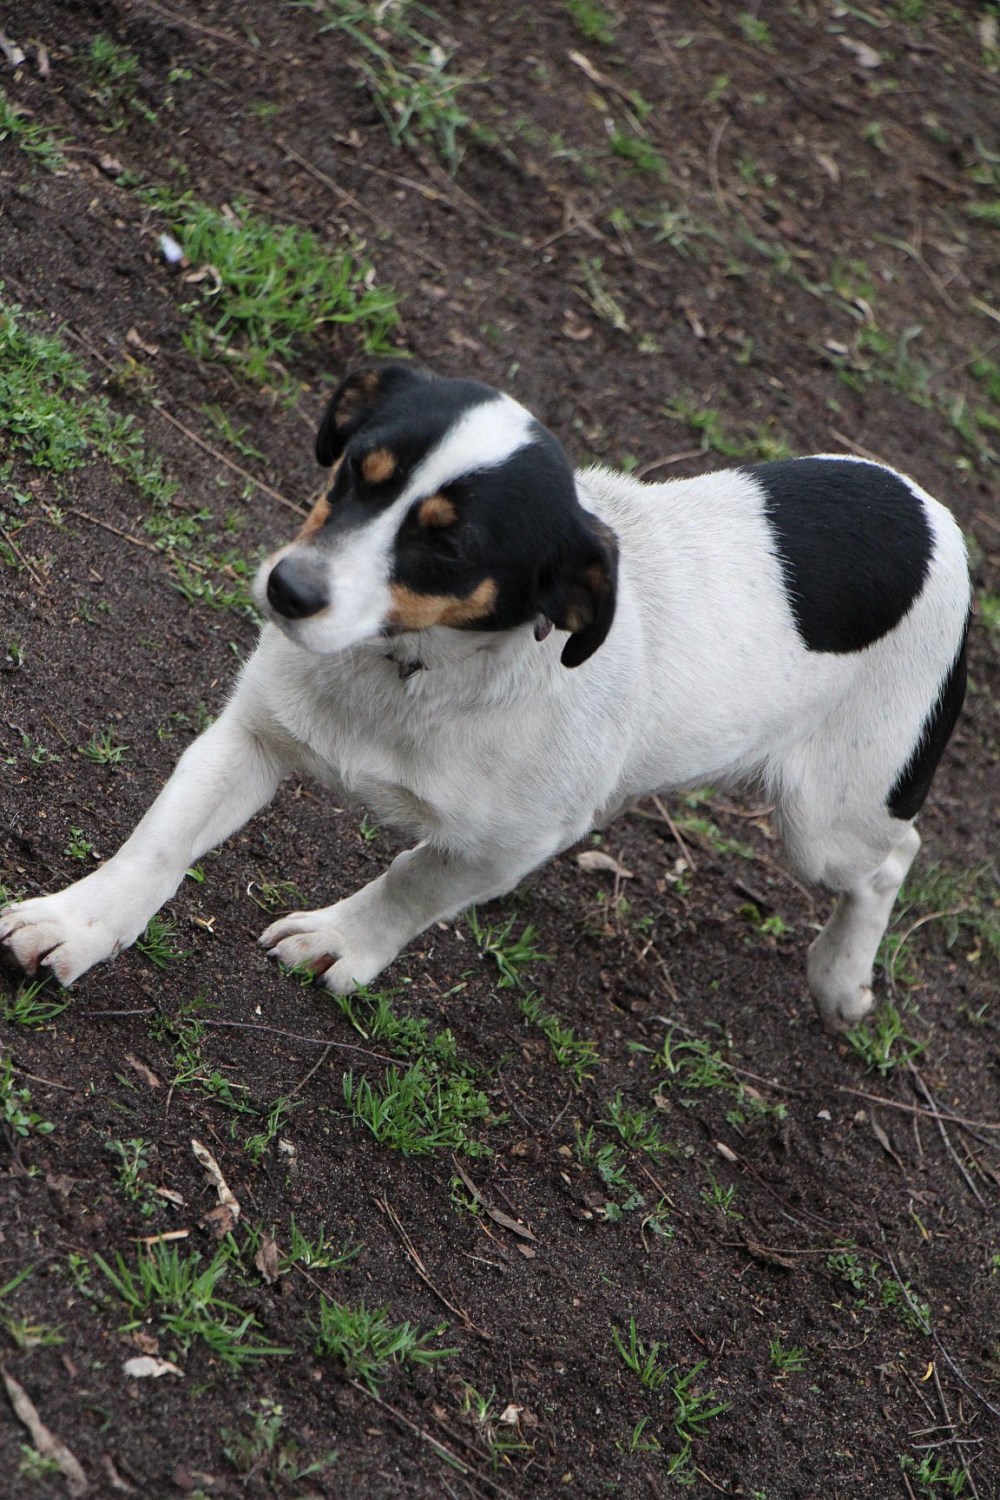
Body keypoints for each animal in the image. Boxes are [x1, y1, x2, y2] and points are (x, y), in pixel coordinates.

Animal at [0, 363, 971, 1031]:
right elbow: (157, 845)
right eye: (354, 474)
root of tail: (938, 514)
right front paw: (80, 923)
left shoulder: (505, 846)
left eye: (448, 549)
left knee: (895, 857)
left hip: (826, 818)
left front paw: (341, 944)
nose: (287, 590)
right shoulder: (251, 736)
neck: (412, 669)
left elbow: (409, 883)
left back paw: (841, 978)